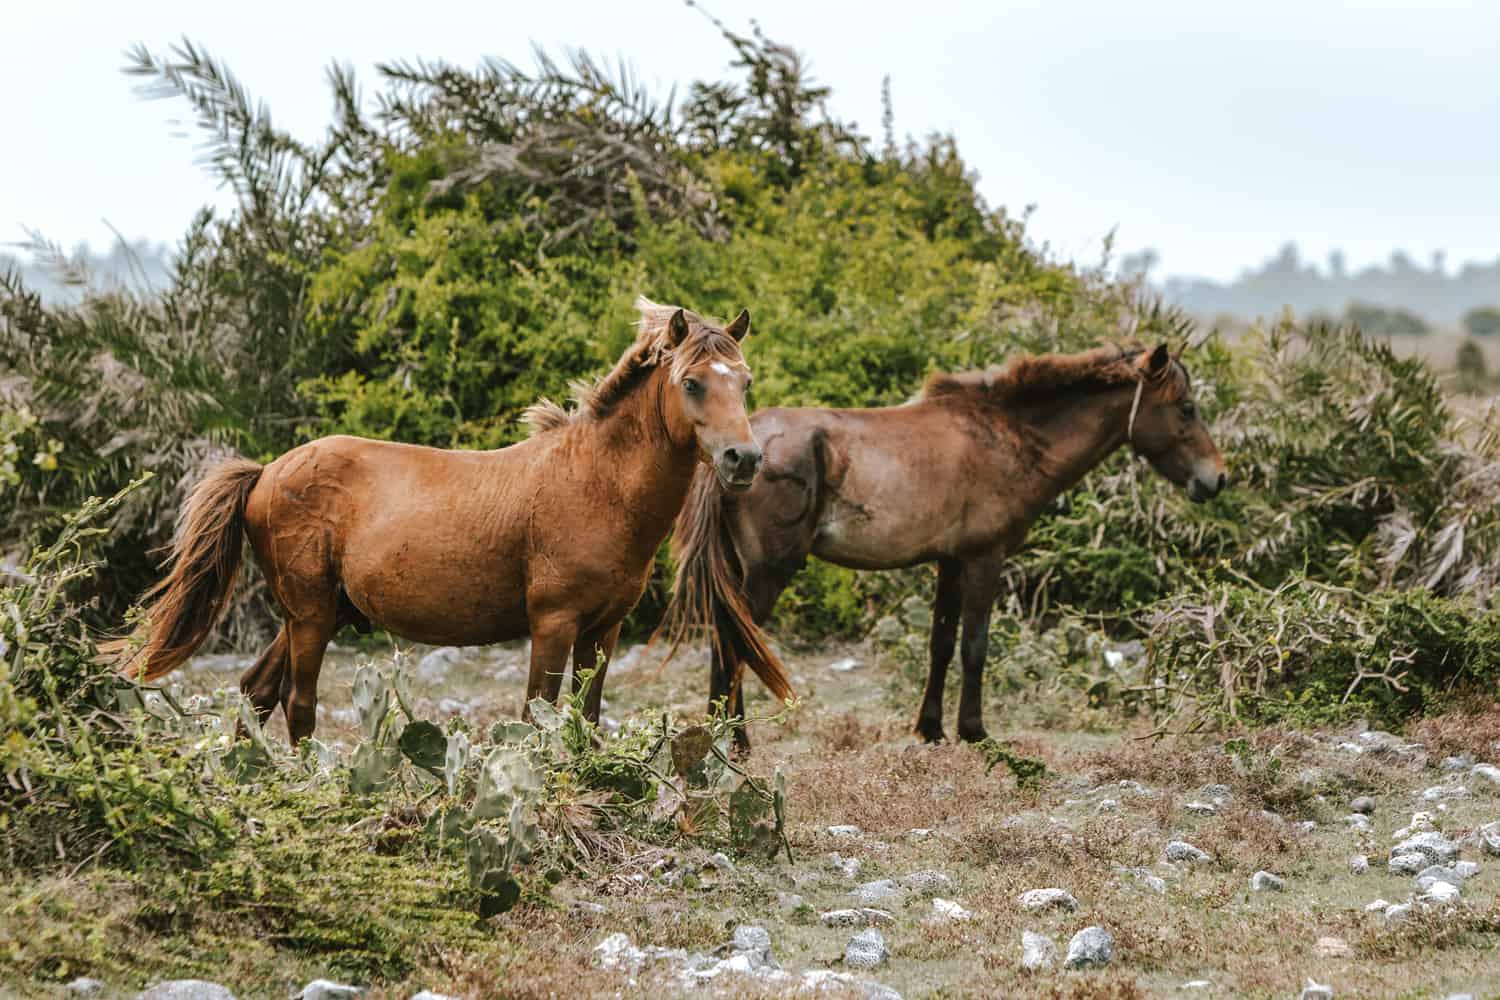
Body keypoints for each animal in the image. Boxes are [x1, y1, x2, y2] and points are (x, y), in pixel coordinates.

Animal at [105, 301, 792, 746]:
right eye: (692, 382)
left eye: (745, 381)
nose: (744, 459)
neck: (594, 483)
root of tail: (268, 471)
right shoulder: (554, 624)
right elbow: (537, 716)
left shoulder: (605, 628)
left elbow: (586, 720)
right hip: (310, 617)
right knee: (298, 706)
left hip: (312, 613)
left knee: (256, 691)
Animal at [669, 340, 1230, 746]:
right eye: (1186, 407)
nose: (1217, 478)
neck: (1008, 436)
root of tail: (735, 451)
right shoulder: (985, 559)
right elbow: (975, 646)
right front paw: (974, 731)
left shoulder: (950, 562)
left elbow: (940, 644)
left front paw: (932, 728)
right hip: (769, 571)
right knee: (737, 641)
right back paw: (737, 741)